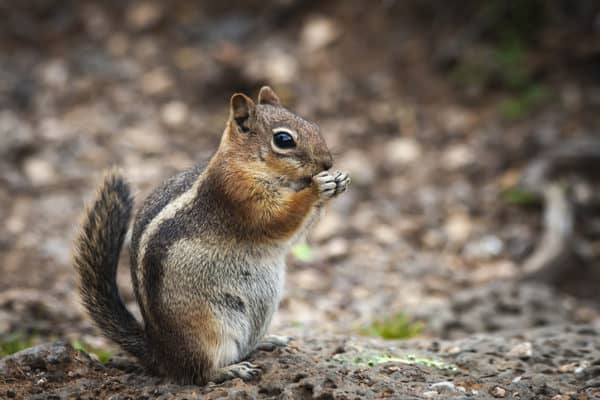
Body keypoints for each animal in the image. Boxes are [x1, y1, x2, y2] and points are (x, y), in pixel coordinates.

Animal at [72, 87, 350, 384]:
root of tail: (160, 354)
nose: (328, 162)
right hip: (208, 330)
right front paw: (318, 188)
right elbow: (278, 220)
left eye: (314, 126)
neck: (245, 162)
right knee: (199, 372)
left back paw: (267, 341)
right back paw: (230, 369)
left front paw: (337, 181)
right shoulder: (237, 194)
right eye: (283, 140)